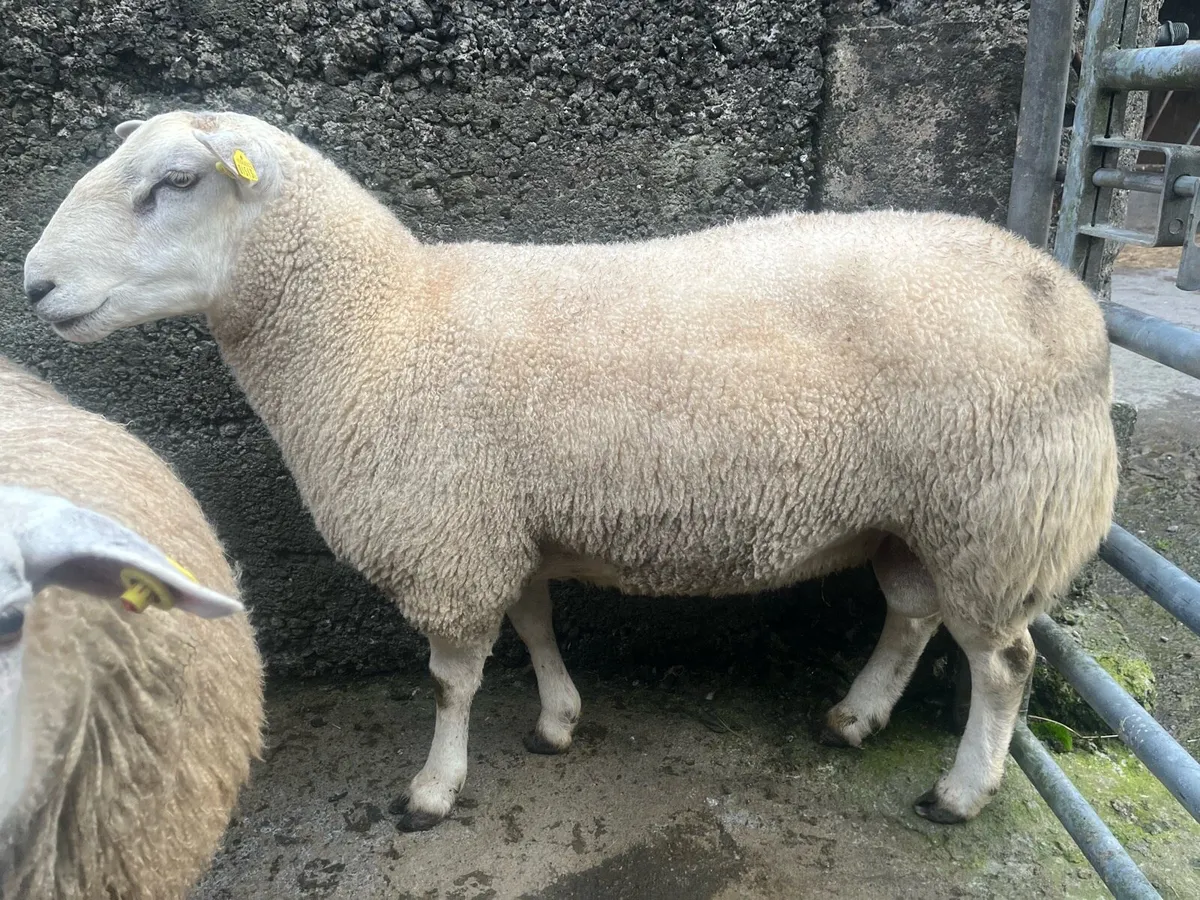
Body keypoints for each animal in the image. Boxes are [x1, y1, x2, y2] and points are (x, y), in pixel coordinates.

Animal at [23, 109, 1119, 831]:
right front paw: (557, 721)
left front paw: (433, 790)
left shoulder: (447, 536)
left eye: (175, 182)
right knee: (913, 616)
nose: (32, 283)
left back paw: (960, 792)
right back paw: (855, 717)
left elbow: (450, 681)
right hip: (922, 516)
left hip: (997, 513)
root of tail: (1074, 301)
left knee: (1004, 665)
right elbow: (537, 625)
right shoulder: (508, 525)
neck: (374, 326)